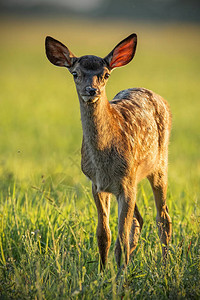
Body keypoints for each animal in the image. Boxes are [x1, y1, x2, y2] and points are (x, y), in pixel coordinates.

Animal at [45, 34, 172, 270]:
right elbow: (104, 234)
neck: (104, 161)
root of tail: (156, 96)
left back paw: (165, 265)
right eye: (75, 73)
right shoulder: (98, 184)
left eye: (105, 74)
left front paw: (120, 274)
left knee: (163, 218)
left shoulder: (127, 182)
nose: (91, 90)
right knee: (139, 220)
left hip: (159, 164)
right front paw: (103, 270)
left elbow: (121, 237)